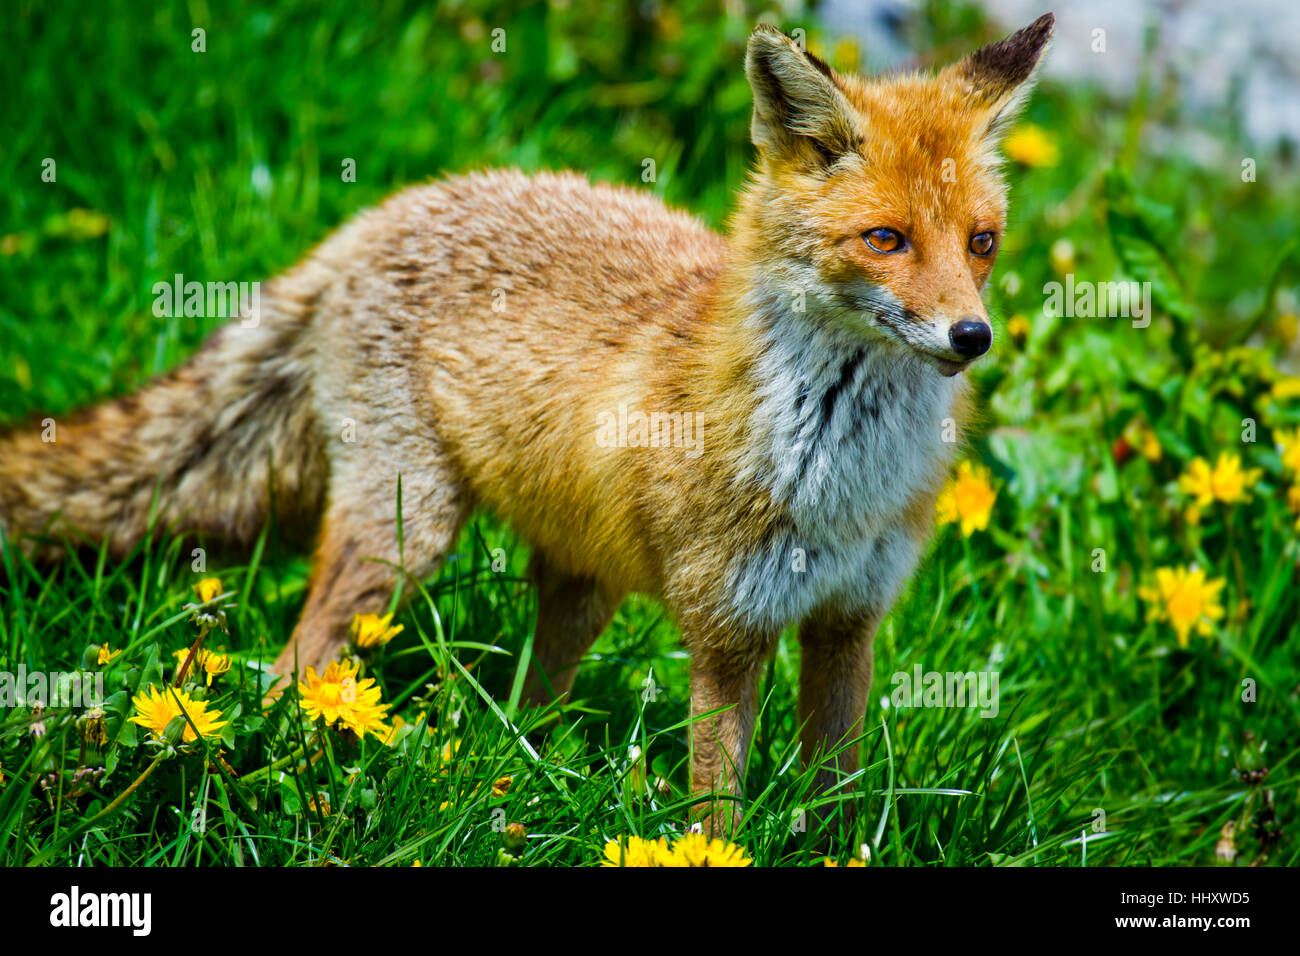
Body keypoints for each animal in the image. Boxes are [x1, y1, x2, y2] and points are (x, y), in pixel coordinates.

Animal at [0, 16, 1050, 832]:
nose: (973, 335)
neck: (839, 479)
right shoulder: (727, 630)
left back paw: (515, 771)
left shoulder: (847, 622)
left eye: (981, 242)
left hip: (581, 580)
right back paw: (293, 751)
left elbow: (836, 796)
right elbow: (716, 806)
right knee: (299, 662)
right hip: (403, 535)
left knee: (528, 701)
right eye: (886, 240)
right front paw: (713, 849)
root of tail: (388, 208)